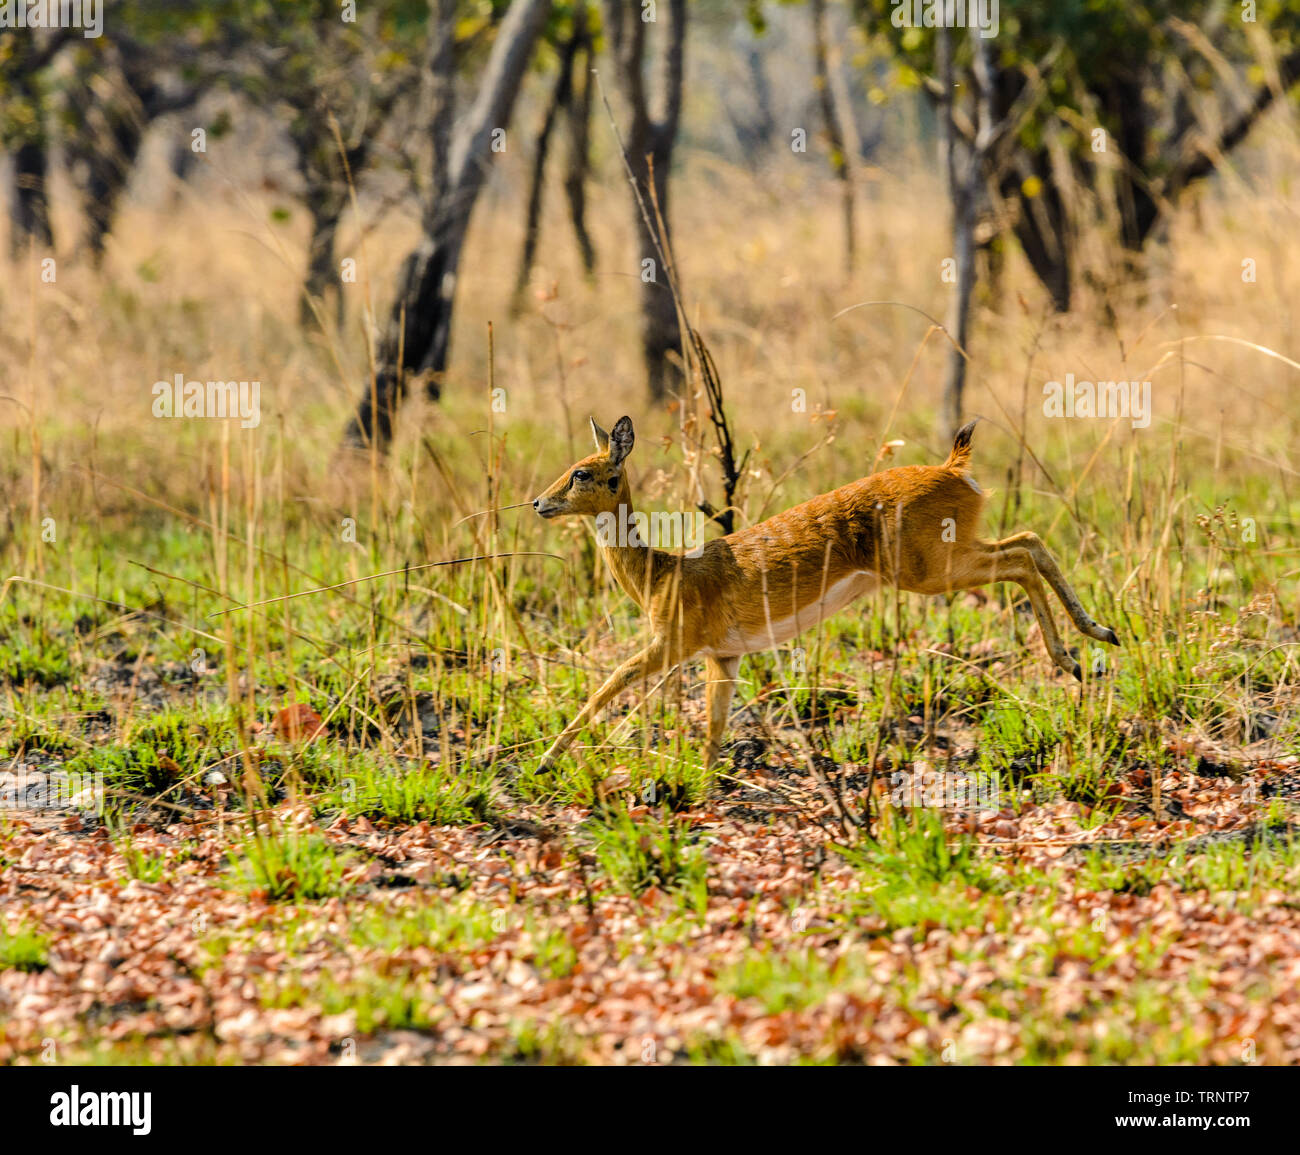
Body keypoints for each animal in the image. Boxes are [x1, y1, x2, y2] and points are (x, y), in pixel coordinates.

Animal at [530, 418, 1118, 770]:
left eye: (582, 472)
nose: (538, 502)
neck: (664, 573)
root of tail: (958, 471)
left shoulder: (670, 644)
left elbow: (609, 683)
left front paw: (547, 757)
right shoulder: (724, 656)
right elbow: (715, 726)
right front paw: (704, 783)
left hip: (931, 571)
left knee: (1022, 559)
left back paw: (1077, 655)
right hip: (949, 558)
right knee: (1030, 543)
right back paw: (1095, 643)